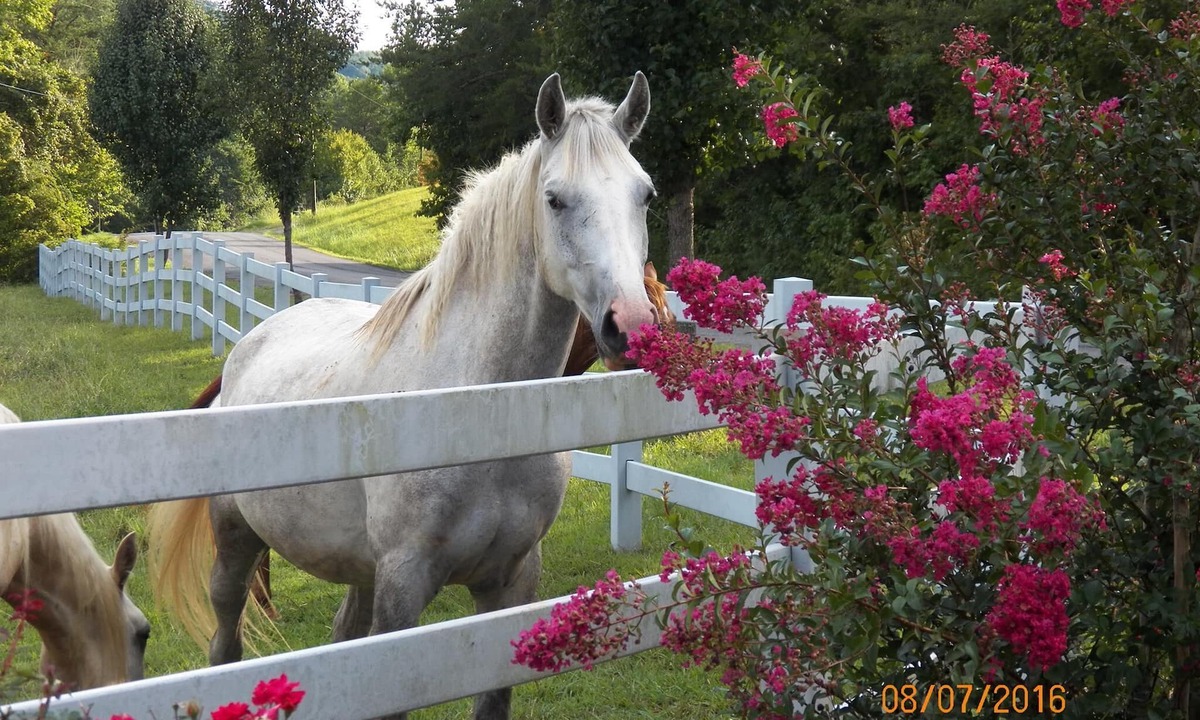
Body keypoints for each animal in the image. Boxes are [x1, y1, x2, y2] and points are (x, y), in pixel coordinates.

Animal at [149, 71, 657, 720]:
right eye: (555, 199)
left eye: (644, 195)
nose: (630, 325)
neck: (479, 414)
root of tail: (246, 350)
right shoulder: (403, 588)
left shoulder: (511, 584)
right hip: (236, 547)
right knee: (226, 642)